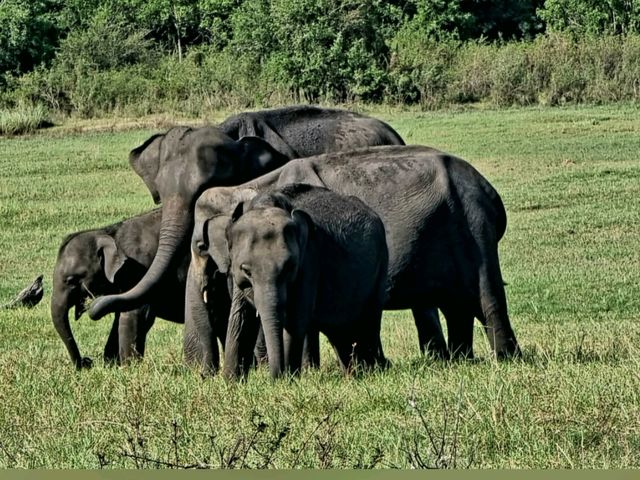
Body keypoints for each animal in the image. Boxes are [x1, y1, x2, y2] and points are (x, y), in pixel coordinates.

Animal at [51, 208, 229, 370]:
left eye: (71, 280)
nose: (86, 362)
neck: (109, 233)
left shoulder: (138, 270)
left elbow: (136, 314)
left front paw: (128, 368)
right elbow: (120, 315)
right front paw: (112, 364)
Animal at [220, 184, 390, 378]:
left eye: (289, 267)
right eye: (246, 271)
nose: (273, 377)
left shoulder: (309, 261)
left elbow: (295, 320)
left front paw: (288, 379)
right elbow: (239, 318)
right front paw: (230, 381)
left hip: (381, 266)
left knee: (369, 321)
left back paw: (372, 371)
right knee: (341, 331)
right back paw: (355, 373)